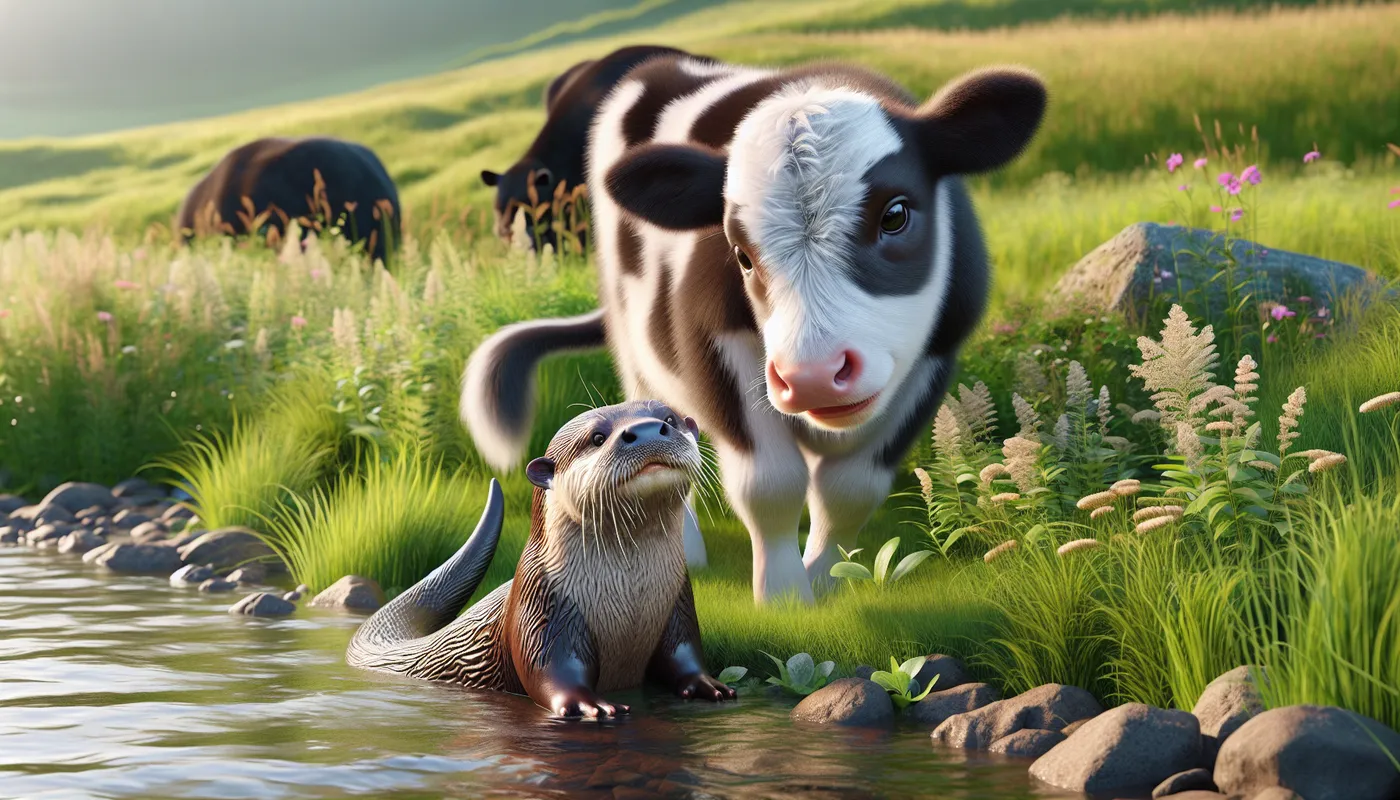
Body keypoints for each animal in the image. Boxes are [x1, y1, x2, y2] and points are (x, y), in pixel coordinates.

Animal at [347, 400, 735, 718]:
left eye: (668, 418)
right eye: (597, 437)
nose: (646, 429)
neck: (631, 592)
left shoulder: (678, 601)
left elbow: (682, 651)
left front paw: (708, 684)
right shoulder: (542, 601)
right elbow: (549, 666)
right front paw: (588, 704)